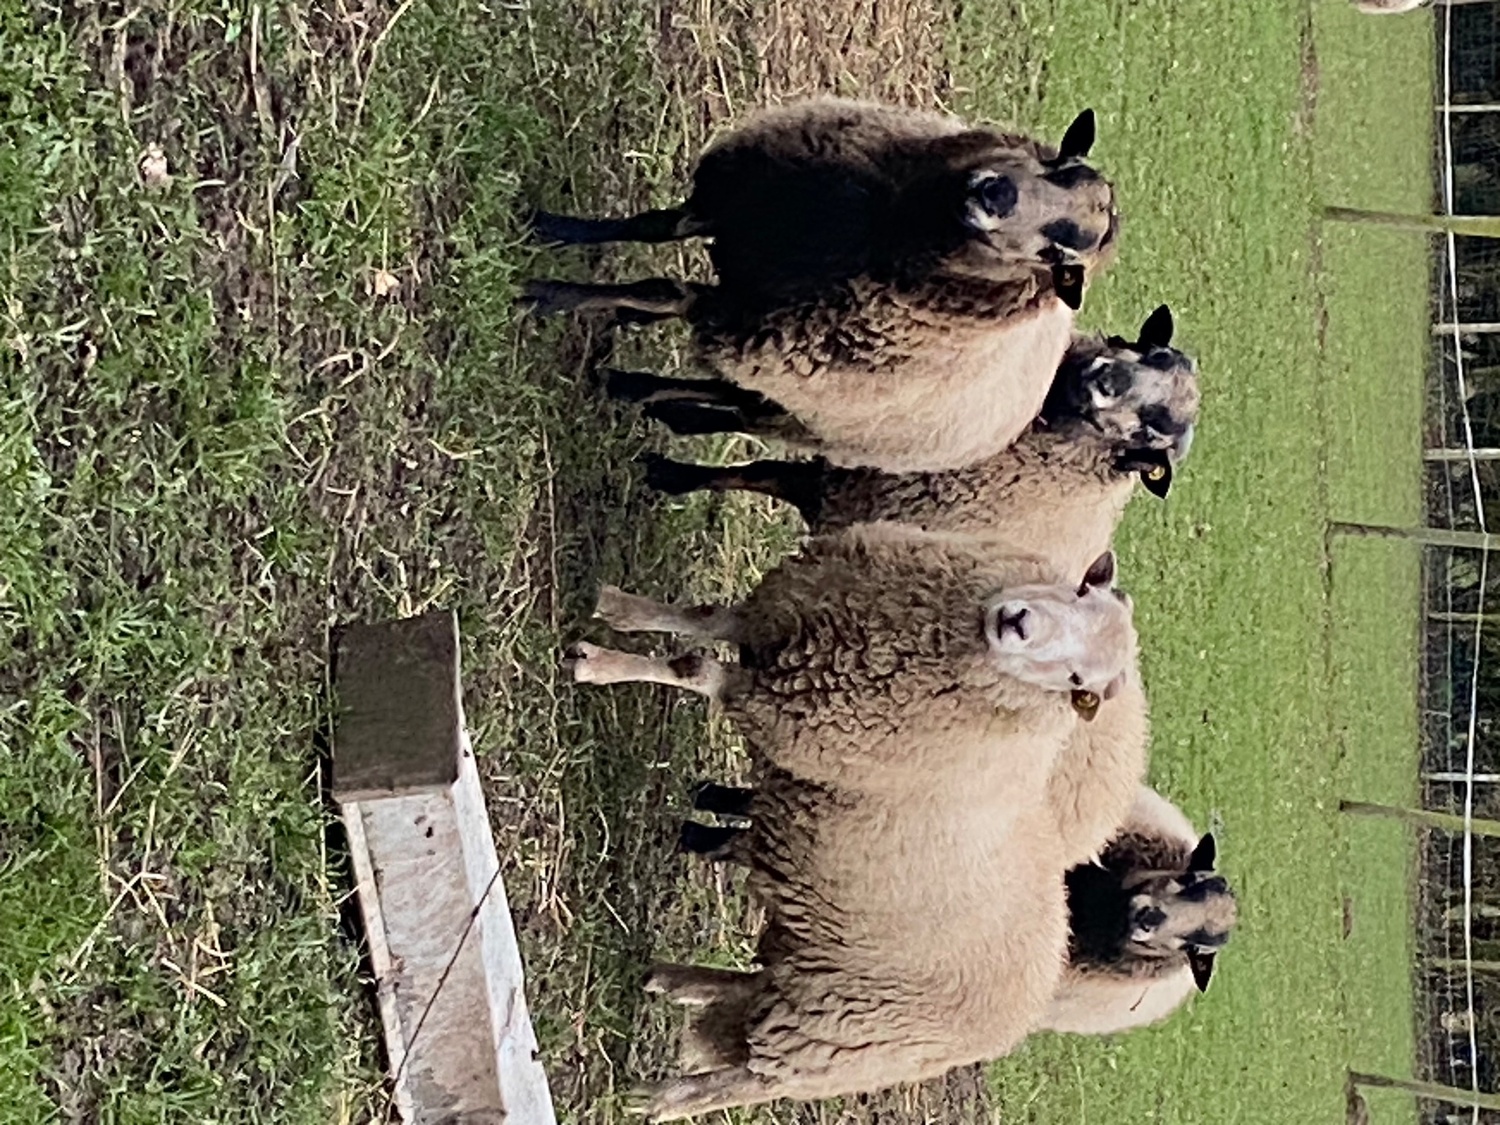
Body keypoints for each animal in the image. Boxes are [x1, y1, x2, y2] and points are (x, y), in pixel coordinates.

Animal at [522, 99, 1122, 473]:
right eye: (1061, 163)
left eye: (1056, 254)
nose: (995, 195)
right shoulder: (736, 207)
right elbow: (651, 227)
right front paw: (551, 229)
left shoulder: (743, 314)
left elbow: (658, 289)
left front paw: (546, 294)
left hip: (801, 411)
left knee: (733, 402)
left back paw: (630, 388)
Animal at [566, 524, 1138, 791]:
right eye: (1081, 590)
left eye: (1077, 681)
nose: (1018, 622)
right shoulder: (776, 612)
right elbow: (703, 617)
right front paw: (619, 609)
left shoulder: (767, 697)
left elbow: (690, 667)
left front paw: (597, 664)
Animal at [636, 304, 1198, 581]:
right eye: (1145, 348)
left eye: (1152, 433)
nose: (1107, 379)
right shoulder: (846, 473)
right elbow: (748, 466)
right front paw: (670, 442)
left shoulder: (842, 490)